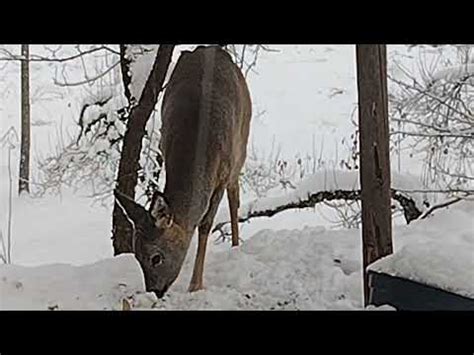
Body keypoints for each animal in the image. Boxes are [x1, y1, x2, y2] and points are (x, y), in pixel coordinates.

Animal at [114, 46, 252, 298]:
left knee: (234, 193)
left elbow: (206, 223)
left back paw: (236, 244)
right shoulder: (163, 147)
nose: (155, 291)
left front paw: (195, 285)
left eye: (156, 258)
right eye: (137, 257)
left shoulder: (224, 169)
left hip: (242, 139)